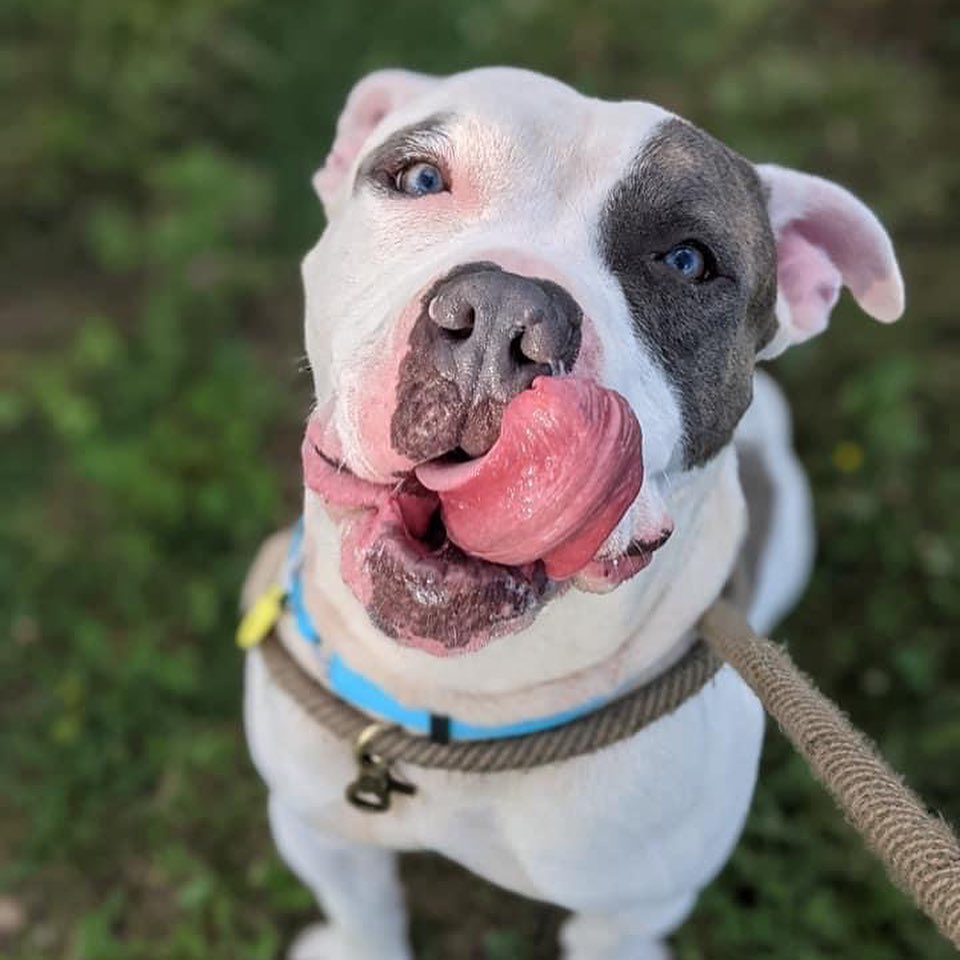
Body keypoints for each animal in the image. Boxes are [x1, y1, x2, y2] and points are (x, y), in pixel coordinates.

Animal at [238, 67, 900, 960]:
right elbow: (363, 910)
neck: (465, 703)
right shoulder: (320, 828)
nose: (501, 314)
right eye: (419, 177)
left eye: (688, 261)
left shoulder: (631, 911)